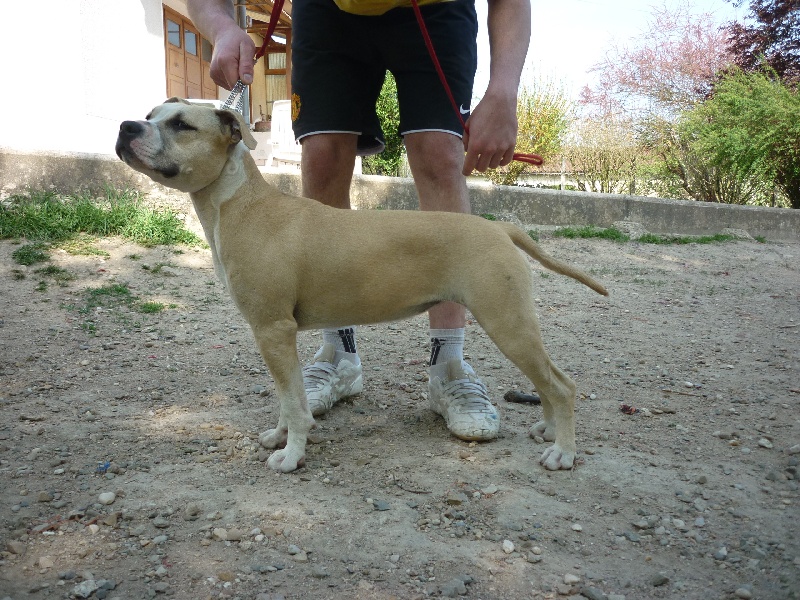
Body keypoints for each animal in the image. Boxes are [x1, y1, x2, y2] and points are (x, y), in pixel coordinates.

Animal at [115, 99, 608, 474]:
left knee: (561, 384)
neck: (240, 204)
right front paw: (278, 436)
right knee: (548, 382)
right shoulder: (273, 336)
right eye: (151, 113)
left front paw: (291, 455)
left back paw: (563, 452)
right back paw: (548, 430)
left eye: (181, 124)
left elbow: (296, 404)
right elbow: (287, 397)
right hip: (513, 324)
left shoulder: (273, 330)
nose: (125, 125)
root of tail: (500, 227)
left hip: (508, 322)